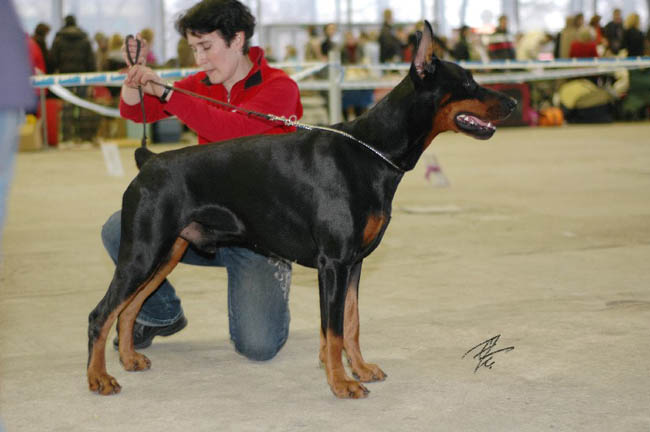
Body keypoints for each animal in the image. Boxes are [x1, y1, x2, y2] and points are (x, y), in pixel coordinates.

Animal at [87, 21, 516, 399]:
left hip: (169, 250)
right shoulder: (334, 262)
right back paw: (99, 378)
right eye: (468, 83)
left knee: (129, 307)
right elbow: (334, 331)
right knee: (101, 313)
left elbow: (351, 323)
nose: (512, 101)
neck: (373, 152)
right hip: (143, 249)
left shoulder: (354, 263)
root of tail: (149, 160)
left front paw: (360, 369)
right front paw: (341, 384)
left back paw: (129, 359)